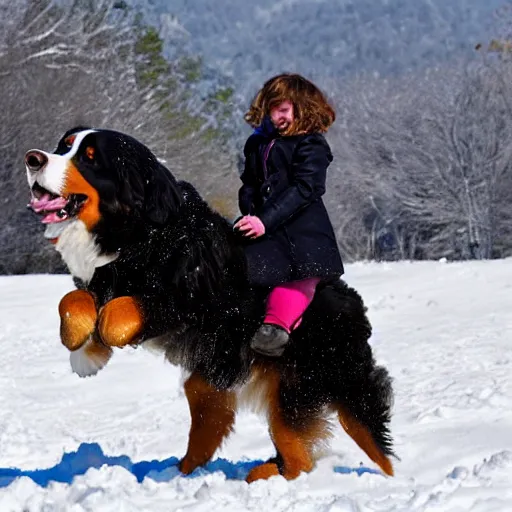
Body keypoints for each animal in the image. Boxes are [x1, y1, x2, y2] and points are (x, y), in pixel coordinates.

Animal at [25, 127, 396, 480]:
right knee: (218, 416)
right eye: (63, 147)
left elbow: (118, 313)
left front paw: (97, 343)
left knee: (306, 454)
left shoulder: (192, 298)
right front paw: (83, 350)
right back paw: (187, 471)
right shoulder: (101, 278)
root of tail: (353, 306)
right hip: (220, 378)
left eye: (90, 158)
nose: (33, 158)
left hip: (301, 386)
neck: (136, 232)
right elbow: (72, 300)